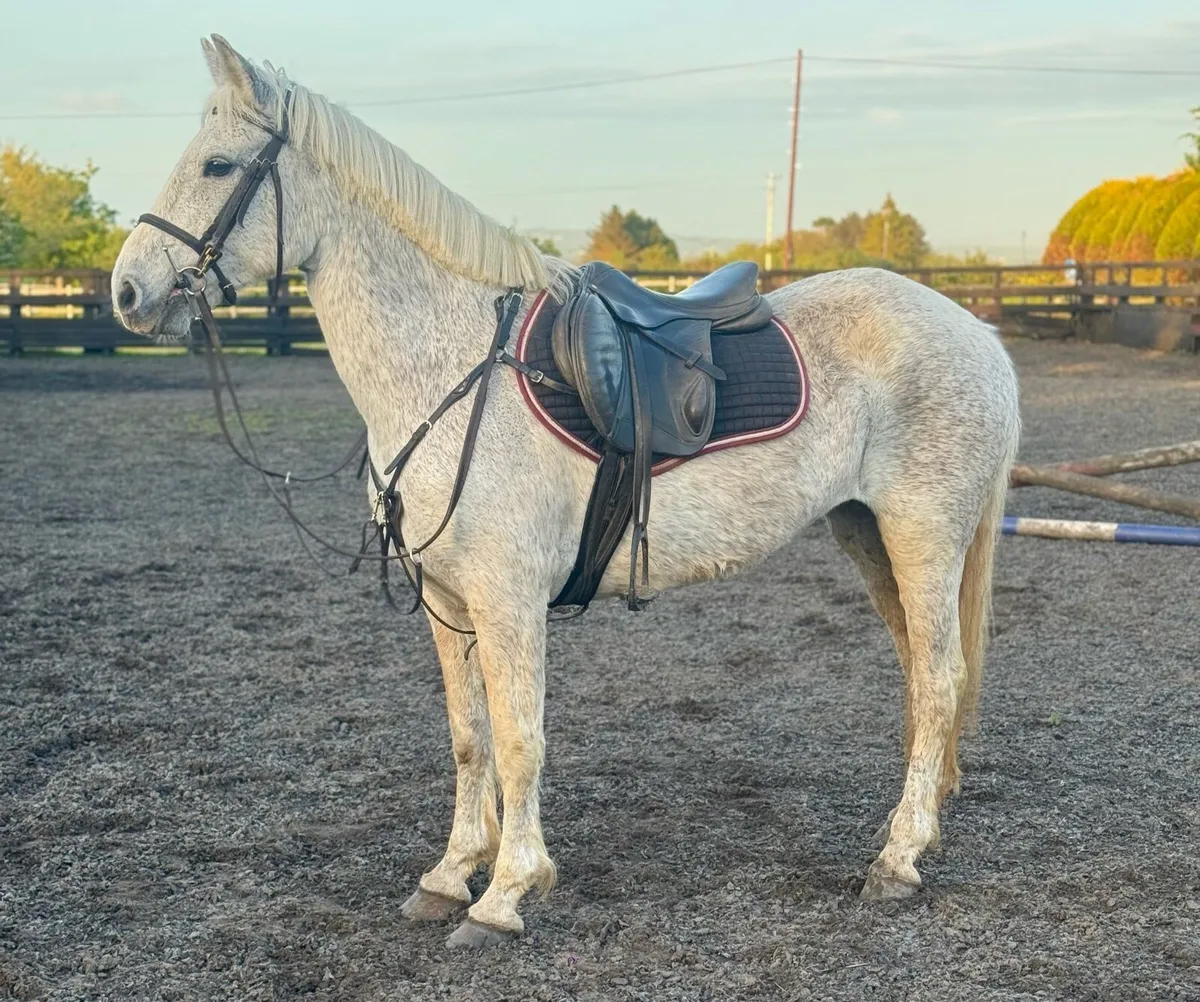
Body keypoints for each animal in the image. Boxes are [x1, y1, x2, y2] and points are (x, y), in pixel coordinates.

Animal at [112, 35, 1021, 949]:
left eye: (218, 164)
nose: (128, 292)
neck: (449, 365)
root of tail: (975, 330)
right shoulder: (447, 599)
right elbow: (470, 737)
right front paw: (451, 873)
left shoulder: (508, 598)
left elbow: (521, 741)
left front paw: (506, 893)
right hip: (866, 532)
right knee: (920, 674)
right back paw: (912, 828)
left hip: (923, 535)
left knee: (939, 677)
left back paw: (898, 860)